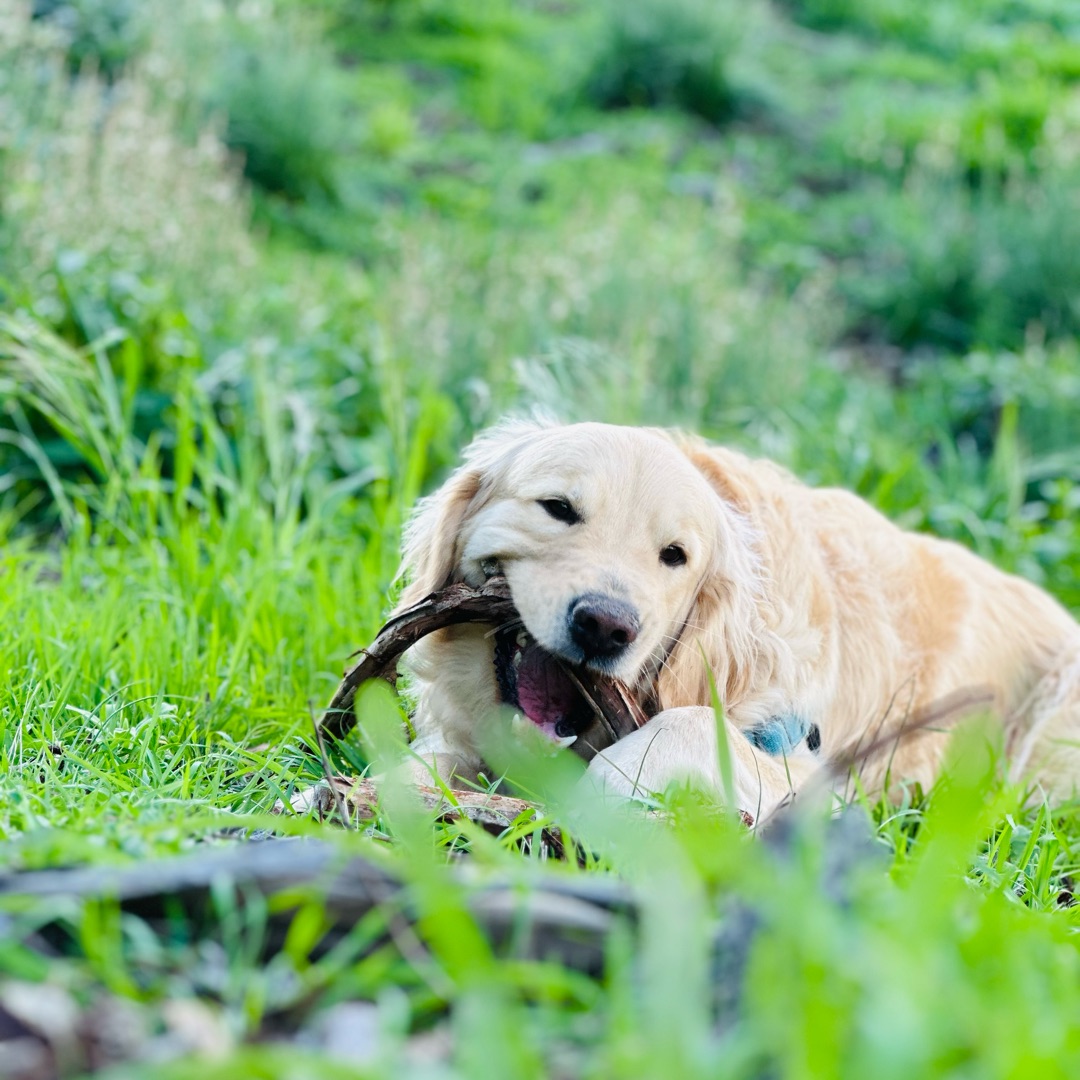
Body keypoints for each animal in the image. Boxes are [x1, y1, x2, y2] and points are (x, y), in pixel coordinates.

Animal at [393, 416, 1080, 812]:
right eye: (558, 508)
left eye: (675, 555)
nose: (607, 626)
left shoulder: (806, 765)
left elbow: (691, 721)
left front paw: (611, 784)